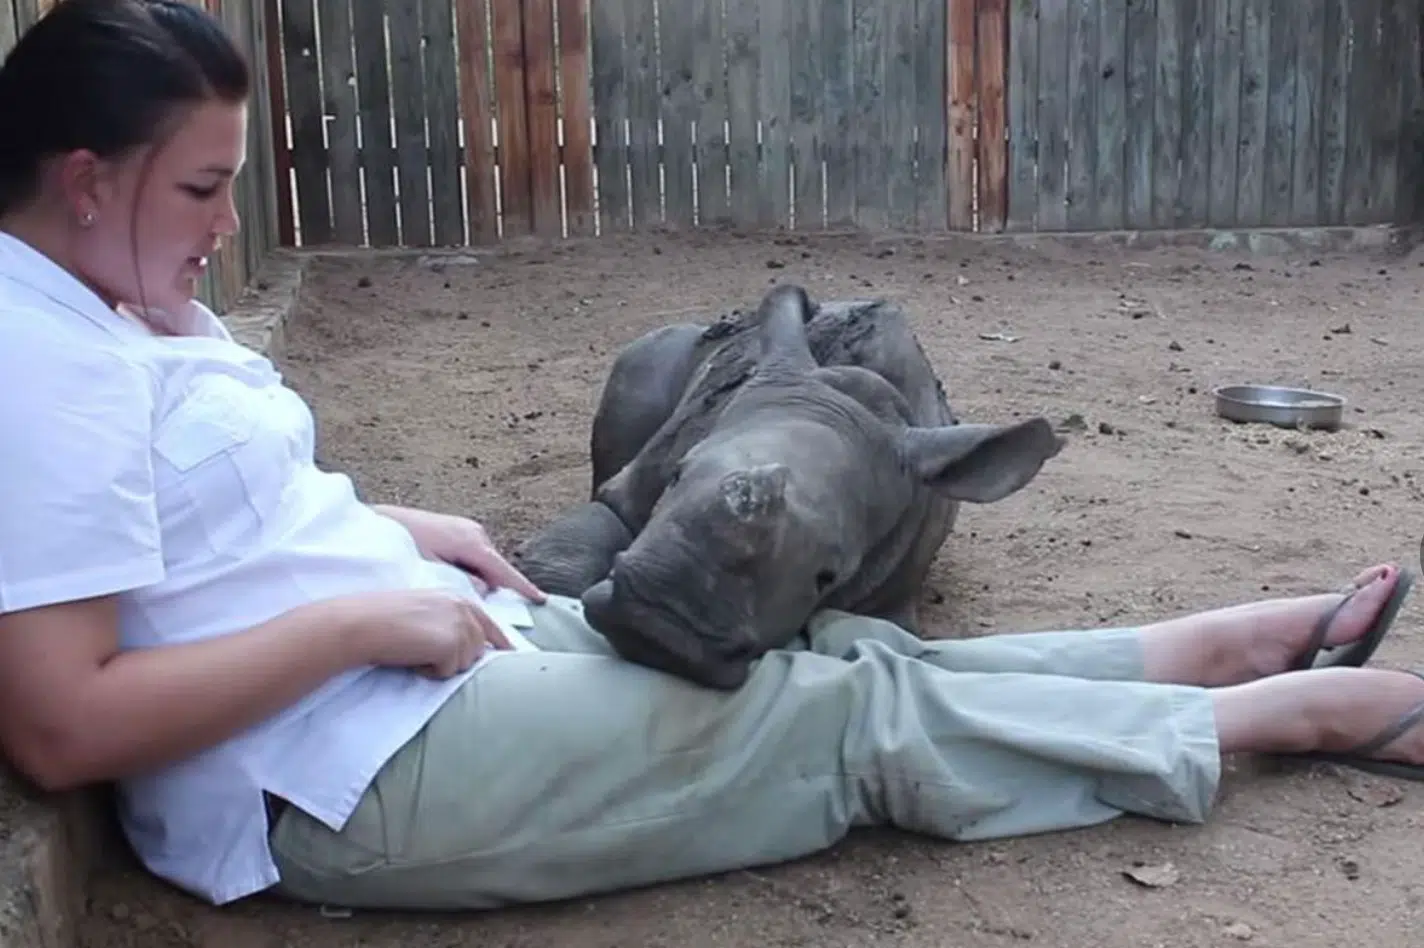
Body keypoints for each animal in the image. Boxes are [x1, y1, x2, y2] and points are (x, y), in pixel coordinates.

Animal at [511, 283, 1064, 689]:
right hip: (656, 351)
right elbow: (563, 563)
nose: (659, 623)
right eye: (677, 475)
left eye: (829, 575)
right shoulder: (632, 492)